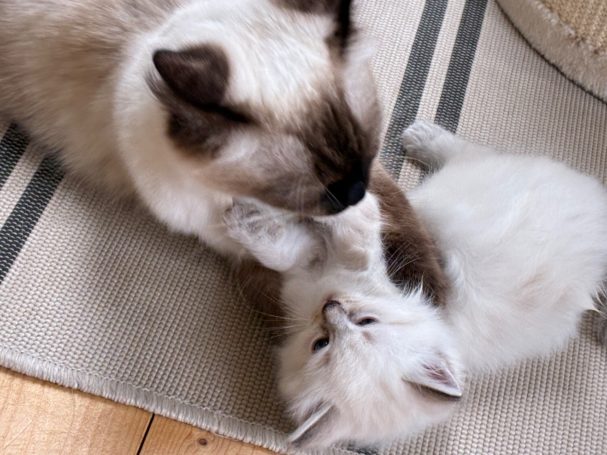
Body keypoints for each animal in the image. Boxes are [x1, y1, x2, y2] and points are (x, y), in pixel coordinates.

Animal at [224, 120, 607, 450]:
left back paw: (421, 136)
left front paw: (247, 219)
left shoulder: (353, 257)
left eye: (364, 323)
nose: (332, 306)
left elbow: (331, 230)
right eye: (323, 342)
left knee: (467, 152)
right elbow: (286, 249)